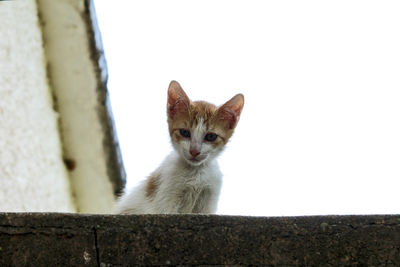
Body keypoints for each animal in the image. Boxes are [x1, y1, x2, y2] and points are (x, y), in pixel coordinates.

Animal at [113, 80, 244, 215]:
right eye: (184, 132)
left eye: (211, 136)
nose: (194, 151)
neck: (195, 172)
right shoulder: (166, 198)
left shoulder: (208, 200)